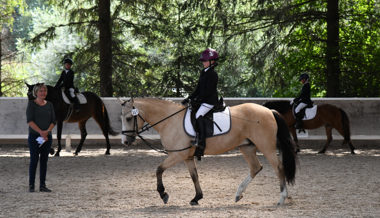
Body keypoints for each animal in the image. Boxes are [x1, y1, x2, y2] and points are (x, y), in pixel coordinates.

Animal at [119, 98, 296, 206]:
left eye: (128, 118)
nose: (125, 142)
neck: (170, 120)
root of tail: (269, 111)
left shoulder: (177, 155)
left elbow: (159, 169)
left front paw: (163, 194)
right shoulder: (187, 157)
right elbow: (194, 176)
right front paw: (197, 198)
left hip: (266, 146)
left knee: (278, 168)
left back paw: (282, 198)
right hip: (247, 147)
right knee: (255, 167)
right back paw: (239, 194)